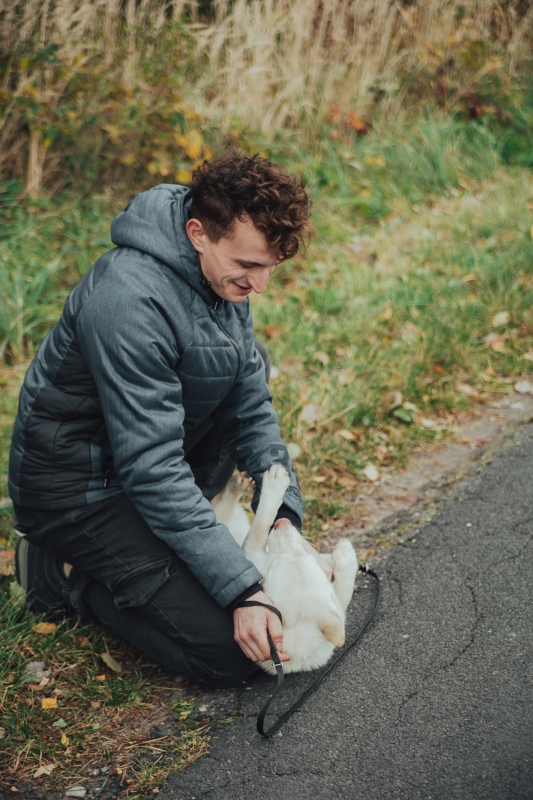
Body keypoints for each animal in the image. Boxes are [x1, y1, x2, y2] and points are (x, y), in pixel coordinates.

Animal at [211, 464, 358, 674]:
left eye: (273, 566)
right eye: (305, 557)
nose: (282, 522)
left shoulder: (253, 551)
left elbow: (262, 523)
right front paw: (343, 557)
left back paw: (237, 485)